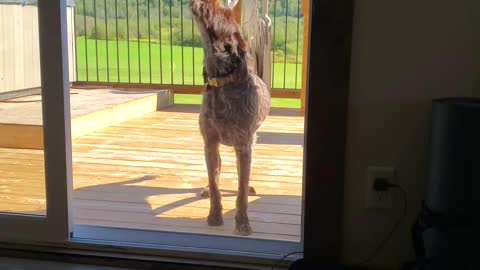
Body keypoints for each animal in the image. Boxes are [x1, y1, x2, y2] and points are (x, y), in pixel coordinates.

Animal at [188, 0, 270, 235]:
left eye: (220, 13)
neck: (222, 83)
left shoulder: (244, 146)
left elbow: (241, 191)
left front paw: (242, 221)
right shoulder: (210, 142)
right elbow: (215, 183)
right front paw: (214, 214)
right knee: (216, 171)